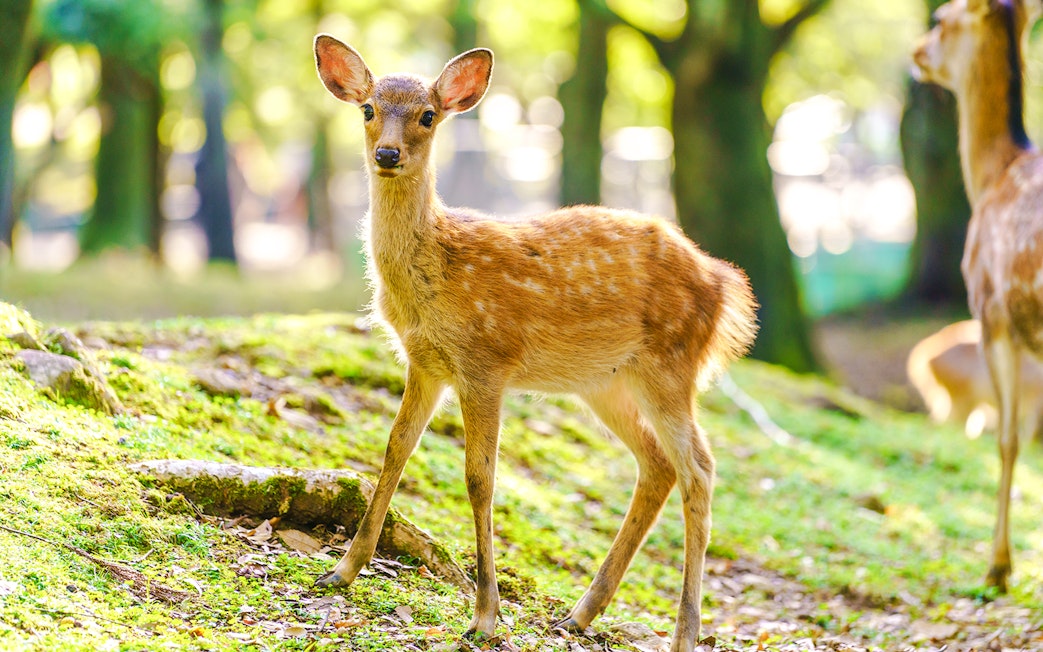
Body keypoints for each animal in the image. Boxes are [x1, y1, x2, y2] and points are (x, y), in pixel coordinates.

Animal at [312, 35, 758, 651]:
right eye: (367, 109)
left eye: (428, 115)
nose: (387, 154)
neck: (435, 272)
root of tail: (725, 285)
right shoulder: (425, 362)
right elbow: (394, 450)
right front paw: (341, 571)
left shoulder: (485, 362)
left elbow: (481, 479)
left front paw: (484, 616)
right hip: (605, 382)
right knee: (658, 465)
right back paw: (580, 614)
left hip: (671, 364)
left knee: (699, 469)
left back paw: (683, 633)